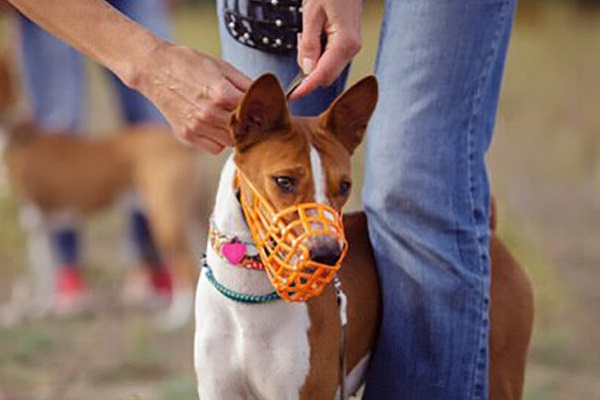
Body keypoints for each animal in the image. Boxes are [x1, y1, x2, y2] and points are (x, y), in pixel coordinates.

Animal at [193, 73, 536, 398]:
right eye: (284, 181)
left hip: (500, 374)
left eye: (344, 186)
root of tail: (489, 236)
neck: (247, 303)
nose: (328, 254)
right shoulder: (217, 392)